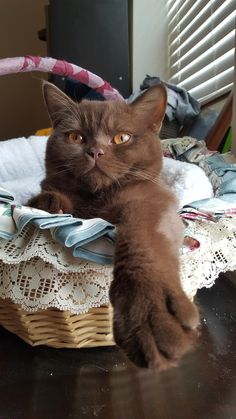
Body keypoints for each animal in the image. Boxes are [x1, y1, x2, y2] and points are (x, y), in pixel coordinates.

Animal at [28, 82, 200, 370]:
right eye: (76, 137)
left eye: (122, 138)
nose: (95, 152)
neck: (96, 199)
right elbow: (54, 195)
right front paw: (49, 202)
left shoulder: (151, 202)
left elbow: (143, 243)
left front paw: (147, 311)